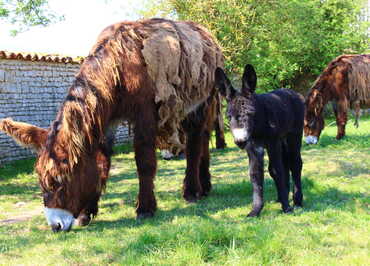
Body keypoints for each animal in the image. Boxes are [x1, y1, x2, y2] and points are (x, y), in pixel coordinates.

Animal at [214, 64, 304, 216]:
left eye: (250, 113)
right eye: (229, 116)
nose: (240, 141)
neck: (258, 127)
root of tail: (291, 91)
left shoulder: (273, 143)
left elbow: (276, 171)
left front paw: (286, 207)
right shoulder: (253, 148)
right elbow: (255, 174)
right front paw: (255, 210)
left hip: (293, 136)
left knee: (295, 163)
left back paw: (297, 201)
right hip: (282, 141)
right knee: (285, 164)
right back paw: (282, 198)